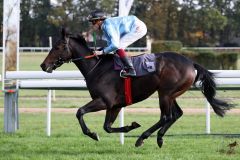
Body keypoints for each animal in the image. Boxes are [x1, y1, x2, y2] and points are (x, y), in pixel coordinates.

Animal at [40, 28, 232, 148]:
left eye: (57, 47)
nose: (43, 65)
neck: (97, 68)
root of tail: (191, 62)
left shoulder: (104, 101)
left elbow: (80, 112)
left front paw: (93, 134)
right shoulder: (115, 105)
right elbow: (107, 127)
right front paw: (129, 127)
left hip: (165, 93)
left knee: (166, 116)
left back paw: (142, 138)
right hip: (171, 93)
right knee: (176, 114)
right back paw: (159, 138)